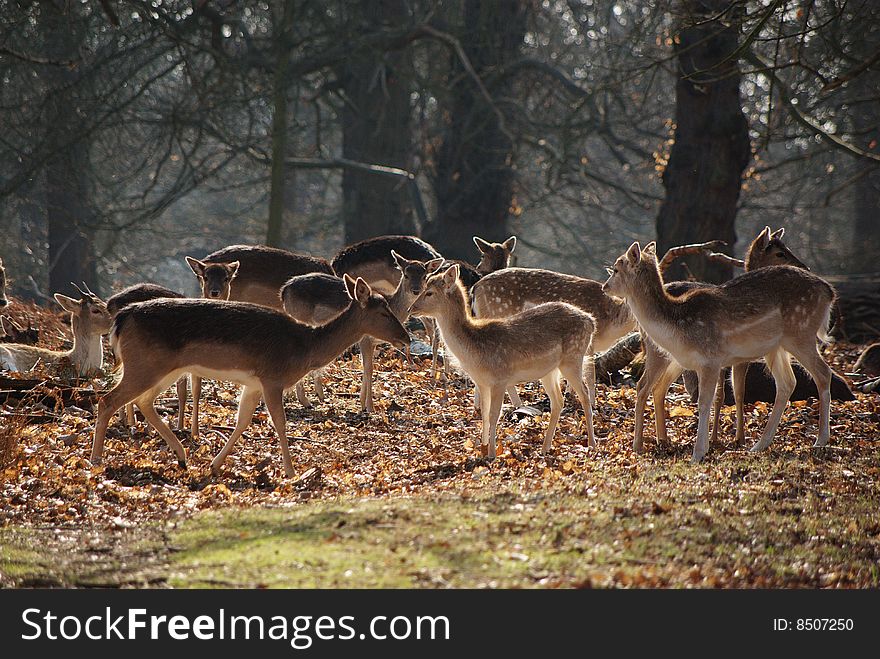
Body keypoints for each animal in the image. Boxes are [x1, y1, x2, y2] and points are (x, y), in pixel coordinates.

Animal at [282, 254, 444, 412]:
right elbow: (369, 368)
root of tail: (283, 291)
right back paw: (305, 401)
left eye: (424, 276)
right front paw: (370, 407)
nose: (416, 290)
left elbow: (367, 367)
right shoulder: (365, 338)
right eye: (406, 274)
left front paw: (362, 403)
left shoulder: (372, 342)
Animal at [410, 266, 596, 462]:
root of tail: (591, 322)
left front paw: (492, 453)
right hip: (549, 371)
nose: (411, 308)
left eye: (429, 292)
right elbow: (484, 414)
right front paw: (482, 449)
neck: (473, 351)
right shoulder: (482, 382)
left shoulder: (500, 379)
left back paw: (591, 444)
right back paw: (545, 448)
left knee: (584, 395)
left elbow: (494, 415)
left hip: (573, 358)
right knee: (558, 401)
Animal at [600, 240, 836, 462]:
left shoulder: (711, 359)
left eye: (616, 268)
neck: (677, 325)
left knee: (823, 373)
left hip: (801, 333)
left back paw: (820, 440)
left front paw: (698, 453)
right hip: (777, 347)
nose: (604, 287)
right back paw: (759, 445)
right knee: (787, 382)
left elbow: (705, 402)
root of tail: (829, 293)